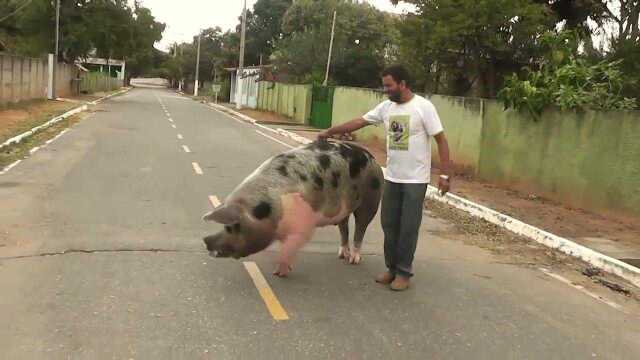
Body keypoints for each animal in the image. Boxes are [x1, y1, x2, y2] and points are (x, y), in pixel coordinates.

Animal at [202, 139, 382, 278]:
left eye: (232, 227)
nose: (206, 241)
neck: (273, 208)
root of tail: (372, 158)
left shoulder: (303, 225)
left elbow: (289, 247)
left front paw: (278, 273)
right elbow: (285, 247)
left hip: (371, 200)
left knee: (361, 227)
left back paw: (353, 259)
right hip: (344, 210)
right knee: (344, 227)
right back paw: (341, 255)